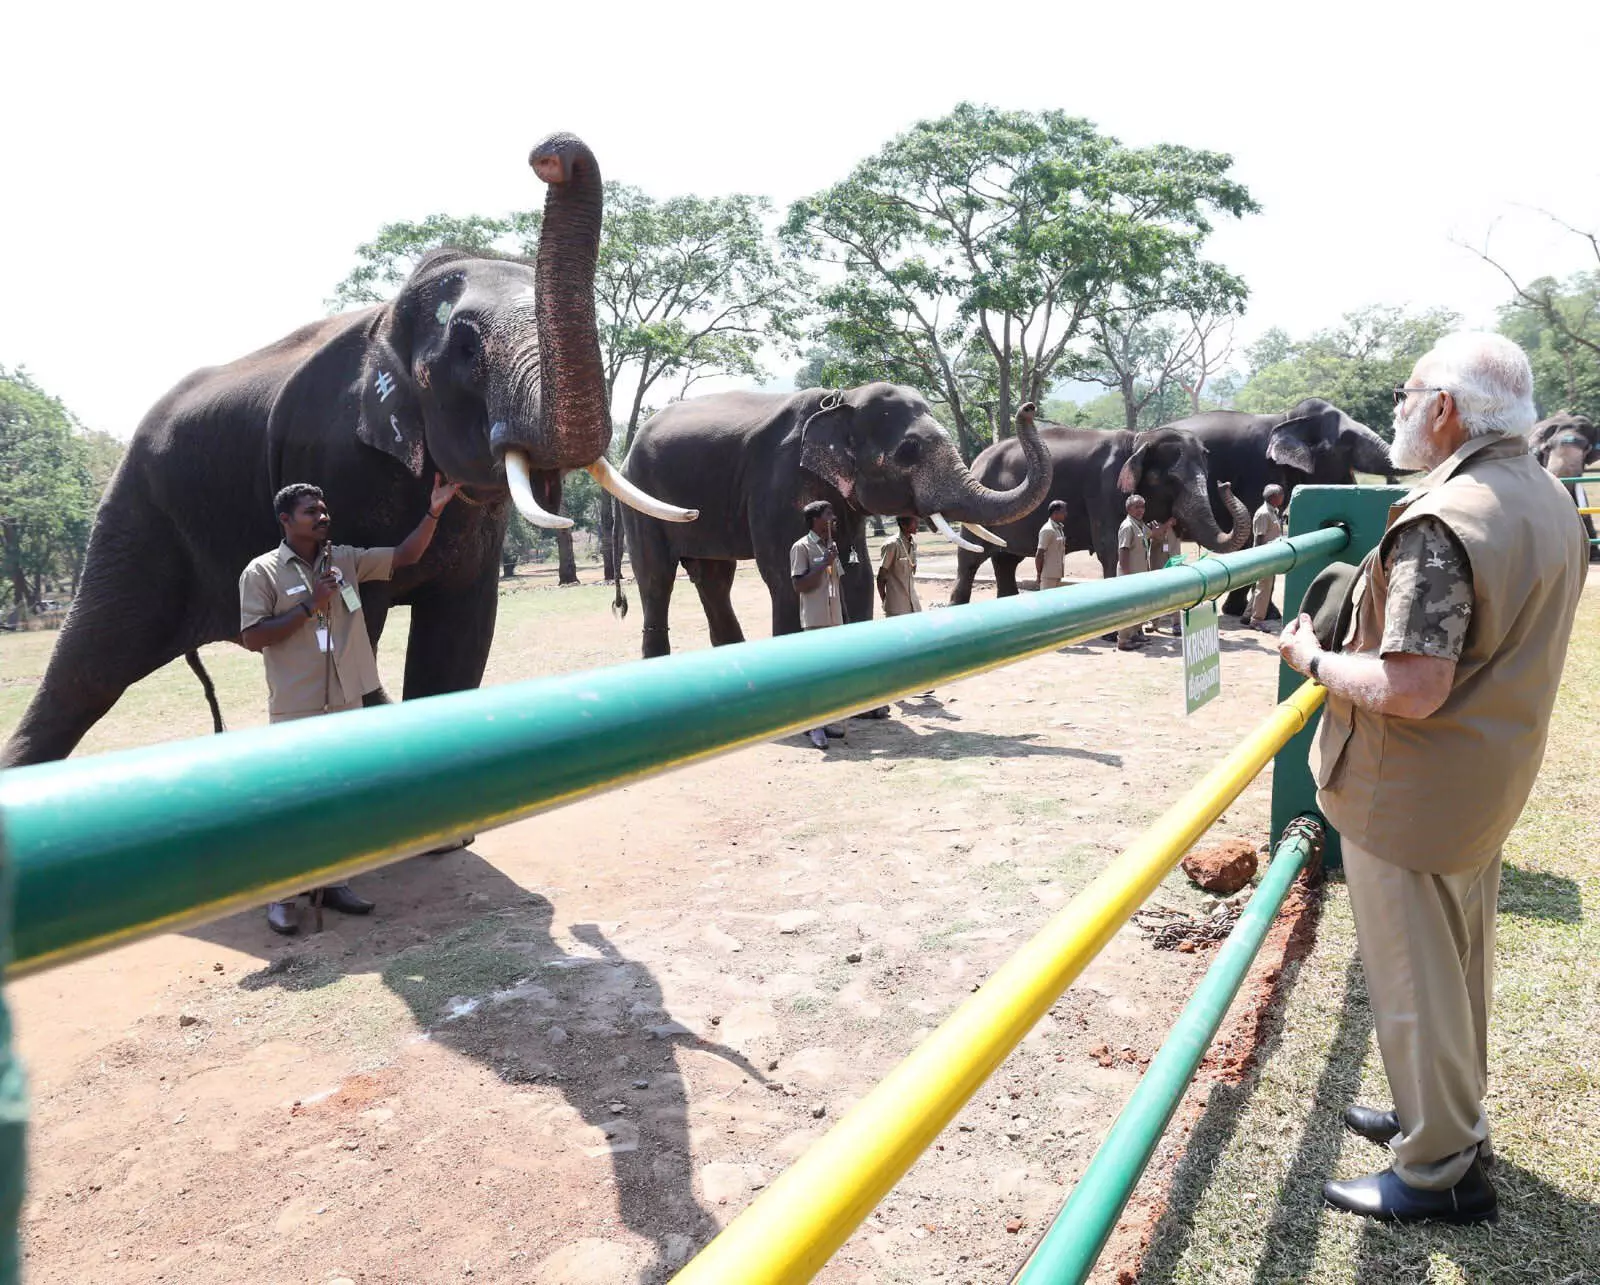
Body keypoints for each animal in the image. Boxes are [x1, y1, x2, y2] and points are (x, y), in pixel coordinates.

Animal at [0, 136, 688, 768]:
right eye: (466, 348)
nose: (551, 155)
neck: (390, 321)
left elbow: (461, 633)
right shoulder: (336, 461)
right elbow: (368, 626)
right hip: (136, 517)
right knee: (90, 664)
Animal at [617, 388, 1056, 652]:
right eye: (909, 451)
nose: (1029, 408)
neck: (843, 398)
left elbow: (857, 571)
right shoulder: (777, 484)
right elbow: (783, 574)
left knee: (713, 578)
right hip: (638, 497)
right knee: (656, 578)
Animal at [940, 422, 1254, 601]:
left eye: (1208, 473)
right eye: (1171, 481)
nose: (1225, 484)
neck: (1139, 440)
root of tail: (977, 461)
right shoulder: (1104, 489)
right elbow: (1109, 547)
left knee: (1006, 560)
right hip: (978, 509)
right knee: (970, 559)